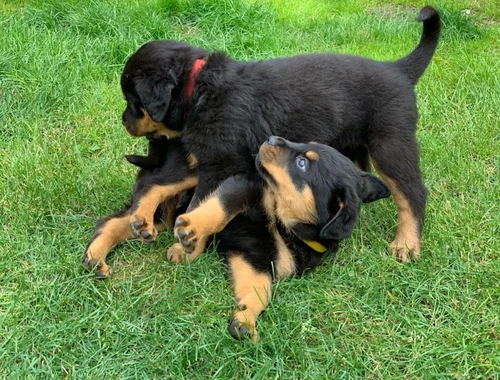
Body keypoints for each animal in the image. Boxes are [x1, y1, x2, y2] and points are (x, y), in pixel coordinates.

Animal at [121, 5, 442, 262]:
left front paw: (188, 245)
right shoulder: (209, 159)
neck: (197, 88)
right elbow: (173, 190)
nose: (124, 121)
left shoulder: (220, 165)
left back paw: (407, 244)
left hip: (391, 143)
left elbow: (202, 202)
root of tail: (398, 69)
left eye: (133, 102)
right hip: (354, 145)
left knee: (412, 193)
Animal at [174, 137, 392, 342]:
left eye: (302, 163)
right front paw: (192, 228)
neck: (283, 224)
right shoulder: (247, 186)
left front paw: (245, 320)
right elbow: (219, 208)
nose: (271, 138)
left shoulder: (257, 256)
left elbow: (260, 288)